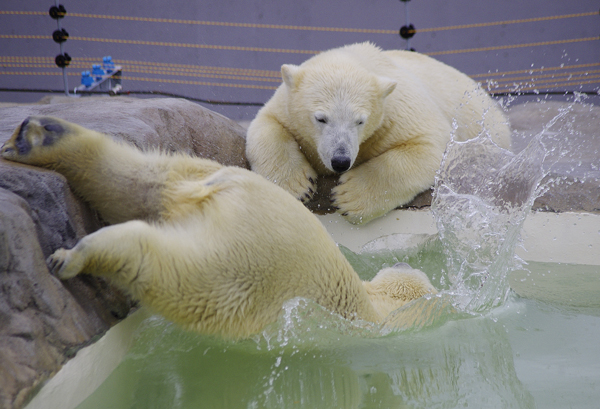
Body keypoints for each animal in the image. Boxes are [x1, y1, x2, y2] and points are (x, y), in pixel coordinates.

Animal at [0, 115, 434, 338]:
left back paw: (36, 138)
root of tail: (226, 193)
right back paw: (75, 256)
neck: (373, 304)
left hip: (201, 174)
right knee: (165, 268)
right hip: (242, 266)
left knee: (137, 178)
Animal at [245, 41, 510, 223]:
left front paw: (348, 196)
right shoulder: (285, 104)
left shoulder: (397, 110)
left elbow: (429, 146)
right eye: (320, 118)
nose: (340, 161)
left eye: (360, 121)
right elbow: (266, 124)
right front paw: (296, 187)